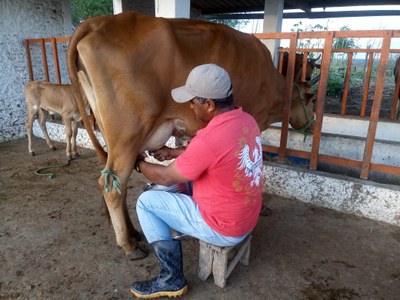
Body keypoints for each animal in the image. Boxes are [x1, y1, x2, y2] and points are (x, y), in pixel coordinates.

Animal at [66, 12, 316, 255]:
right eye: (312, 101)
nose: (313, 125)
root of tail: (97, 22)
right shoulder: (255, 116)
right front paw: (261, 205)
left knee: (117, 181)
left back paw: (134, 234)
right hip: (127, 134)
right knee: (112, 185)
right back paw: (128, 245)